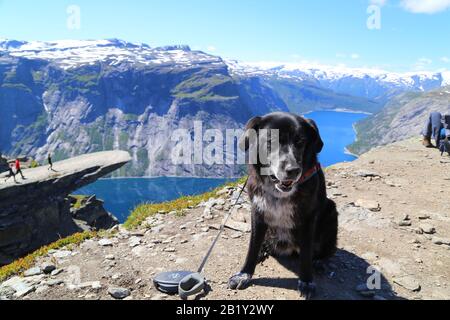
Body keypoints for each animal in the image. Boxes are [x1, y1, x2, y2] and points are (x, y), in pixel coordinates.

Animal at [229, 112, 338, 298]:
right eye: (271, 140)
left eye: (300, 141)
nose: (293, 170)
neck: (279, 193)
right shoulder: (258, 212)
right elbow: (252, 246)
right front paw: (244, 274)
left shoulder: (308, 219)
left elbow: (306, 253)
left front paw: (306, 281)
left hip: (331, 211)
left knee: (325, 250)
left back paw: (320, 261)